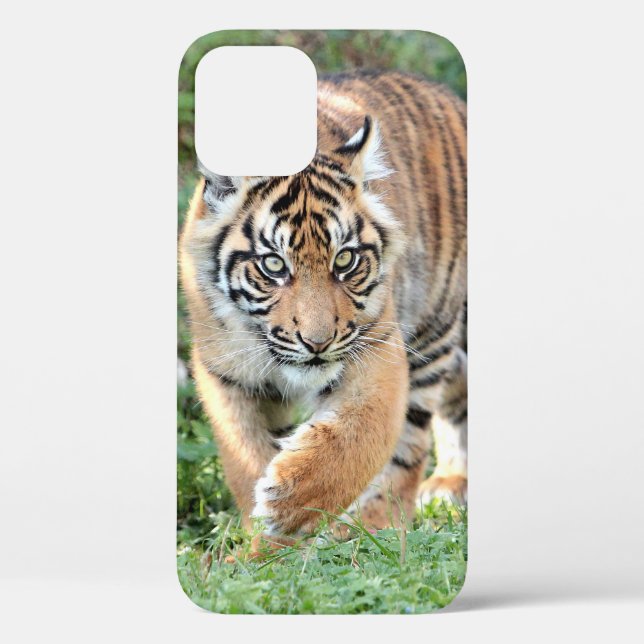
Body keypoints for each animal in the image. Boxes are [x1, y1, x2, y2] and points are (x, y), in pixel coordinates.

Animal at [179, 70, 467, 544]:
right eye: (274, 265)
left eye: (344, 260)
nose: (317, 342)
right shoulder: (225, 371)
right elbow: (245, 457)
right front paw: (263, 545)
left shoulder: (380, 349)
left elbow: (358, 437)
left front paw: (289, 504)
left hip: (434, 331)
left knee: (409, 447)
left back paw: (378, 525)